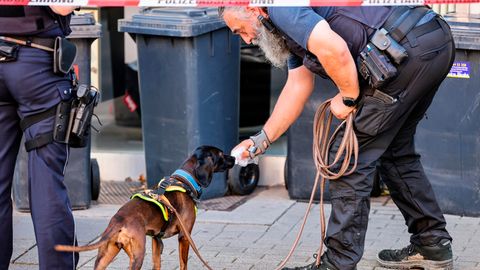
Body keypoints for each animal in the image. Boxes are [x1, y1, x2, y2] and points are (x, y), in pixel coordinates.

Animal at [55, 147, 235, 268]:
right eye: (220, 155)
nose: (233, 157)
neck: (183, 180)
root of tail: (118, 220)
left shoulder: (156, 241)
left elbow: (157, 265)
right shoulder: (185, 237)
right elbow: (183, 264)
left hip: (105, 255)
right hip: (137, 256)